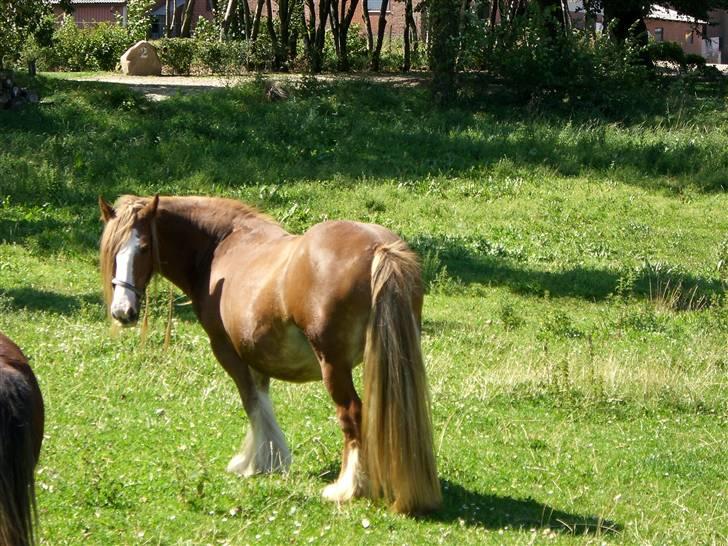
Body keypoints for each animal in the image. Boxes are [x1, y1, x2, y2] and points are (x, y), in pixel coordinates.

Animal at [99, 196, 440, 516]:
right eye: (112, 250)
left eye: (143, 247)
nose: (123, 311)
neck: (221, 246)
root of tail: (380, 247)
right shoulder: (256, 354)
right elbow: (262, 402)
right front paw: (269, 459)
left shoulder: (228, 351)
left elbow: (251, 402)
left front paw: (256, 463)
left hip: (334, 366)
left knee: (352, 414)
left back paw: (348, 487)